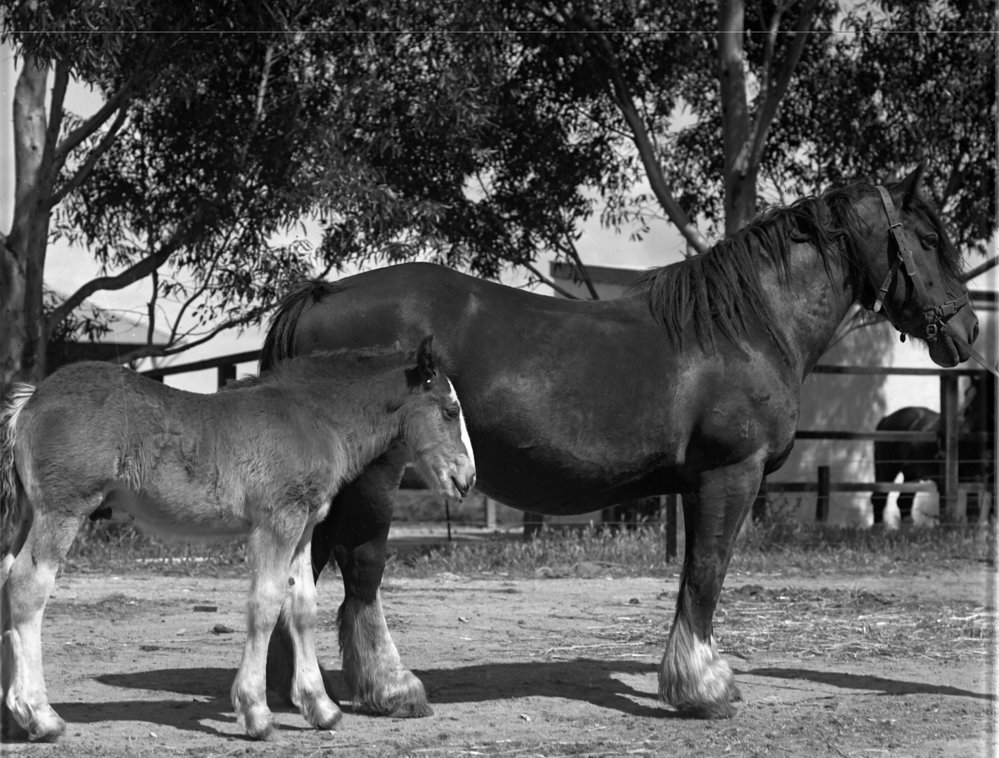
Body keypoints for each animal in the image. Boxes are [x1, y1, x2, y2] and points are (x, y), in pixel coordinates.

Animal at [0, 337, 475, 742]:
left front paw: (321, 708)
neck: (314, 418)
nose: (467, 479)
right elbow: (265, 605)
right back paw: (40, 716)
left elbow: (302, 608)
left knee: (6, 579)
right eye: (450, 410)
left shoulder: (303, 527)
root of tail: (30, 401)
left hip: (28, 515)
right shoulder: (276, 523)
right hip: (61, 510)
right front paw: (257, 714)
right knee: (27, 587)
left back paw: (13, 716)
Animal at [259, 166, 979, 720]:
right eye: (927, 239)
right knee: (360, 571)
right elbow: (706, 574)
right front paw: (703, 688)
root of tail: (322, 297)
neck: (743, 328)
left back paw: (292, 692)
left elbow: (694, 576)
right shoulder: (730, 475)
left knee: (304, 573)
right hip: (374, 480)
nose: (969, 330)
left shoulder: (696, 484)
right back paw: (391, 688)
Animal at [872, 372, 995, 525]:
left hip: (911, 473)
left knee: (904, 501)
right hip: (887, 470)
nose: (961, 427)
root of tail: (886, 419)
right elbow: (972, 511)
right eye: (966, 393)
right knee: (879, 498)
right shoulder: (972, 476)